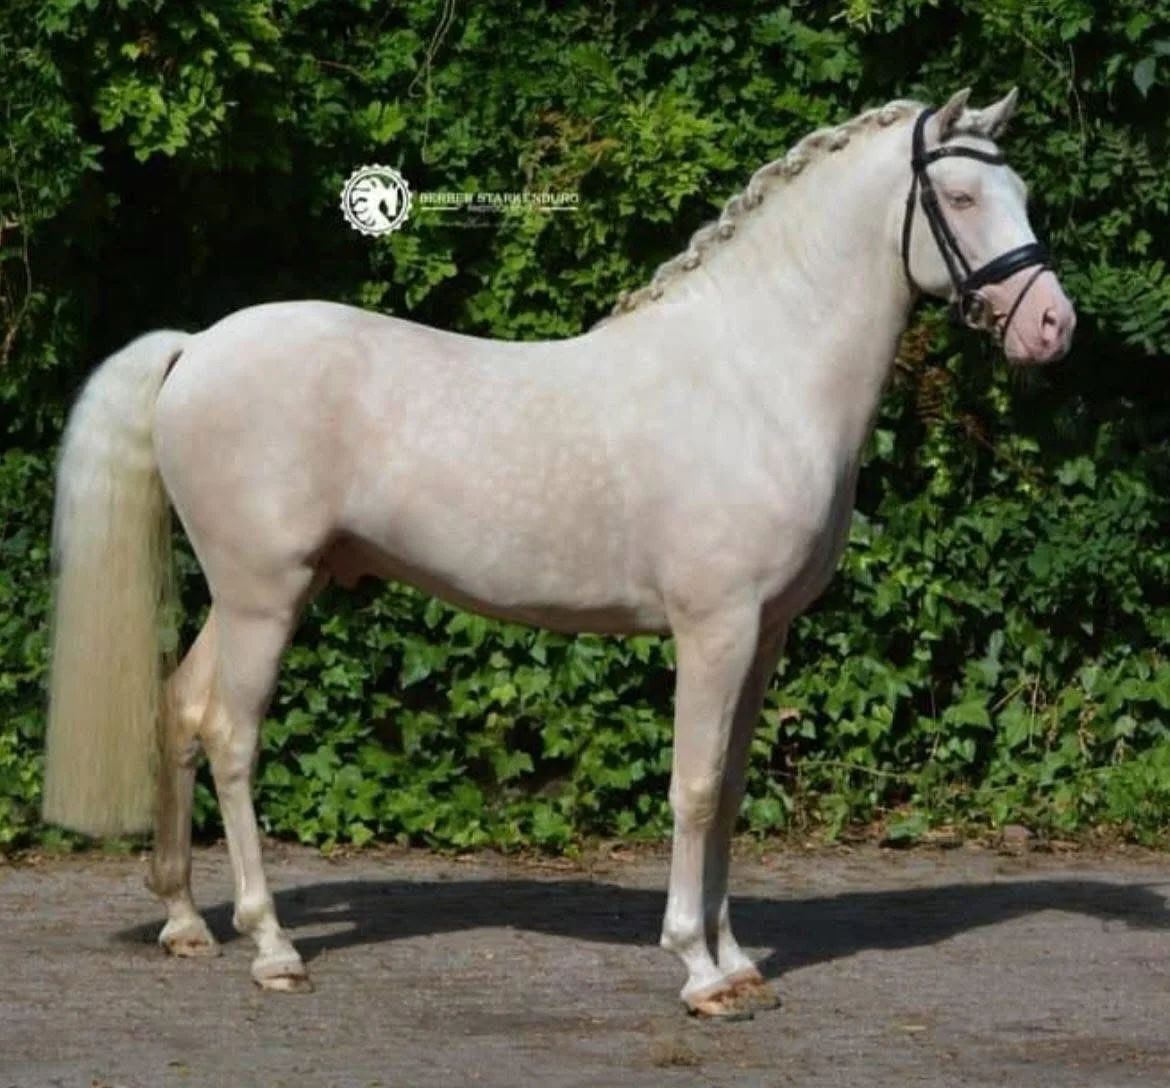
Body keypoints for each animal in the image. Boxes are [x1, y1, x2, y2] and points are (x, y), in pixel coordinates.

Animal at [42, 87, 1075, 1019]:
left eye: (1023, 191)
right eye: (964, 198)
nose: (1053, 325)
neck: (752, 376)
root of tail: (198, 345)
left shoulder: (765, 635)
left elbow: (733, 790)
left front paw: (740, 962)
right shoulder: (715, 629)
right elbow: (697, 789)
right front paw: (698, 971)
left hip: (247, 594)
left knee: (180, 709)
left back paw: (185, 922)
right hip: (265, 594)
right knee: (231, 735)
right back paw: (272, 947)